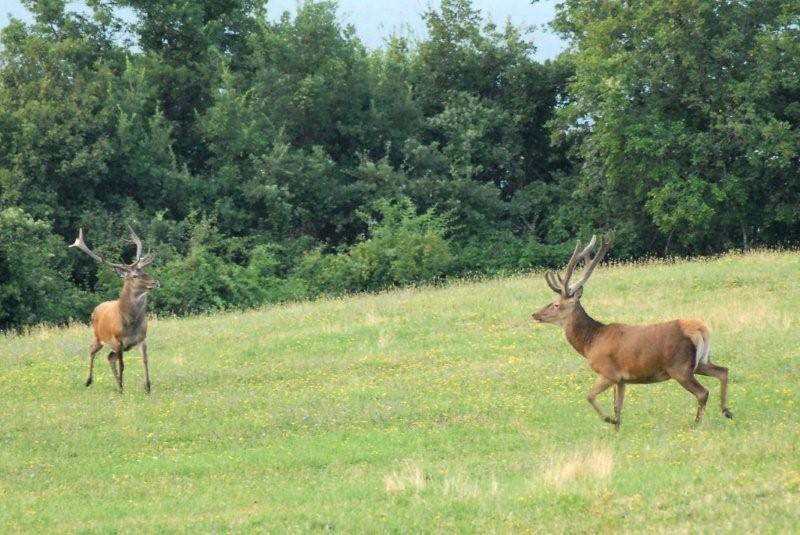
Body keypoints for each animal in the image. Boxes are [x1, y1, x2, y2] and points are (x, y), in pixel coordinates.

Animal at [70, 226, 161, 394]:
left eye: (145, 271)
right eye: (135, 275)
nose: (155, 282)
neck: (130, 323)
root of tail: (96, 308)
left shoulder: (141, 338)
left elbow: (145, 360)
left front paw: (147, 387)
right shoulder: (118, 340)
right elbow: (122, 365)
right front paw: (122, 388)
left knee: (109, 357)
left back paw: (117, 384)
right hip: (98, 336)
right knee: (92, 350)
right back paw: (89, 381)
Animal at [532, 237, 732, 430]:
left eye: (556, 304)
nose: (535, 314)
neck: (591, 343)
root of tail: (701, 330)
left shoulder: (608, 372)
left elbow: (589, 396)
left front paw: (608, 419)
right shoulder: (622, 379)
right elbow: (618, 406)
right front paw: (616, 427)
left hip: (679, 367)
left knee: (703, 392)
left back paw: (697, 424)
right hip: (700, 362)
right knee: (723, 370)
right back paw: (727, 411)